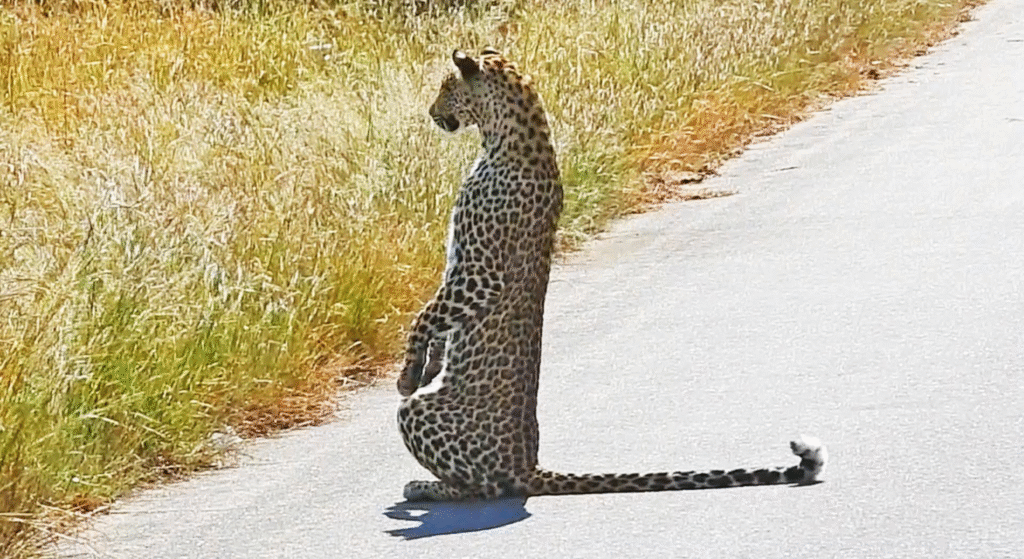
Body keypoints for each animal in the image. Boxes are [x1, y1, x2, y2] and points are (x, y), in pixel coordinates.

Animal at [396, 49, 827, 501]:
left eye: (446, 88)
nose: (432, 113)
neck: (504, 136)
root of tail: (528, 467)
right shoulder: (460, 270)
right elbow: (437, 318)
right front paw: (429, 366)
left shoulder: (481, 273)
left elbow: (425, 316)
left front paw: (408, 375)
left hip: (422, 416)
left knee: (482, 488)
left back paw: (424, 487)